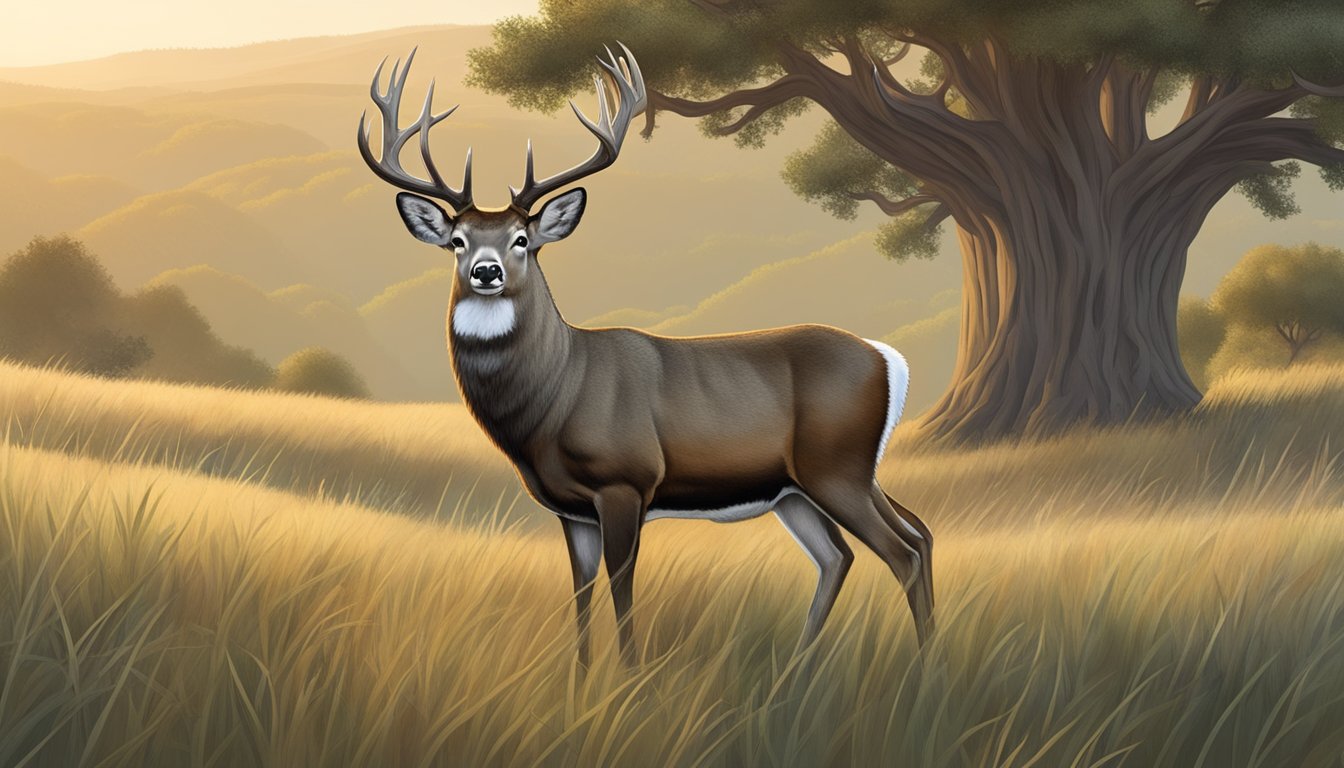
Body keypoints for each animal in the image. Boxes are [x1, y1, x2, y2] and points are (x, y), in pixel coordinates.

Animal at [362, 45, 940, 667]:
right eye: (457, 240)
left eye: (522, 239)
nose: (486, 271)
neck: (556, 397)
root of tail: (889, 359)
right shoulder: (570, 510)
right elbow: (582, 591)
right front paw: (581, 676)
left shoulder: (626, 480)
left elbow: (622, 587)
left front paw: (632, 676)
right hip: (808, 485)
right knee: (871, 545)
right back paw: (804, 667)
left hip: (837, 466)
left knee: (901, 550)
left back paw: (921, 669)